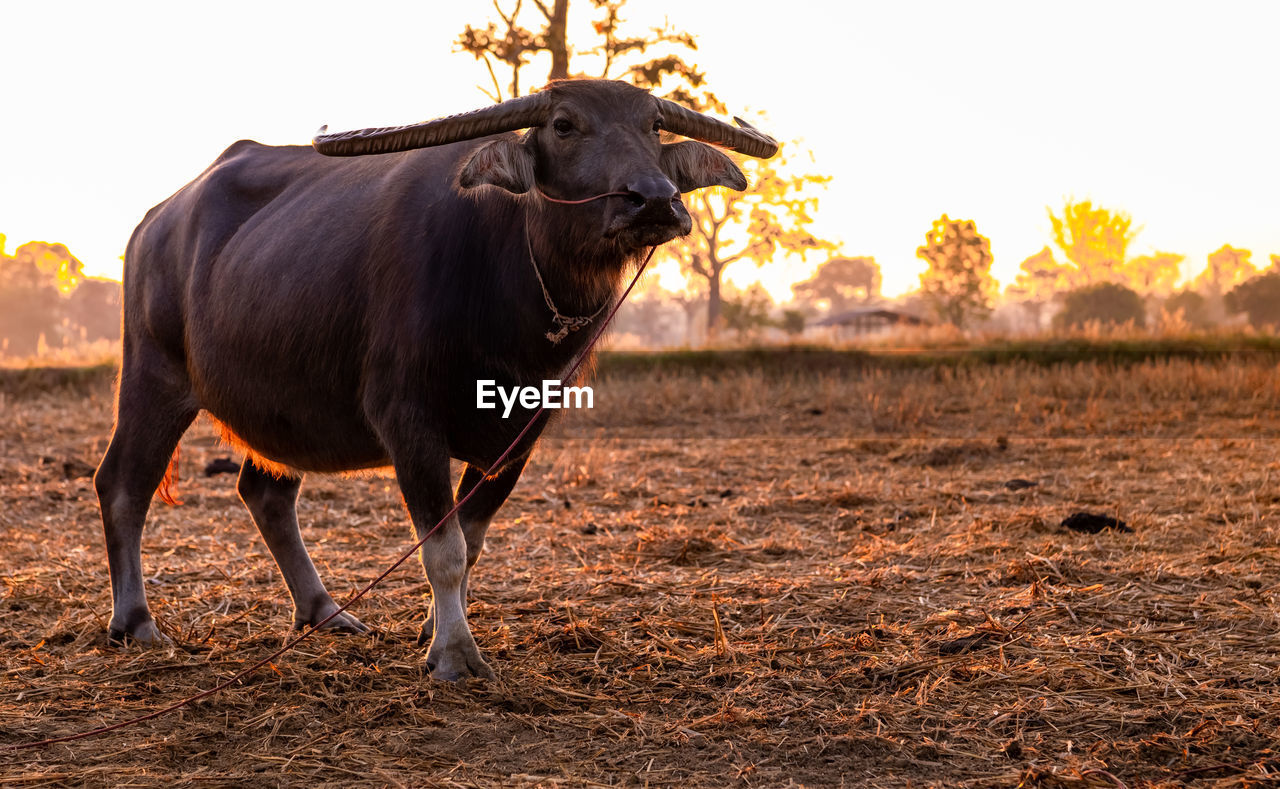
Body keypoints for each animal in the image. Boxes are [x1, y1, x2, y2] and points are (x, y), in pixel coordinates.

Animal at [94, 81, 773, 686]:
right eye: (564, 125)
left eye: (653, 126)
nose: (654, 200)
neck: (506, 288)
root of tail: (155, 222)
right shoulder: (408, 423)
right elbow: (442, 550)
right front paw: (454, 654)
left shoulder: (520, 436)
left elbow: (469, 542)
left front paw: (435, 628)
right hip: (153, 374)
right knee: (124, 484)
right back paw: (136, 621)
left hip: (281, 405)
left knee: (266, 493)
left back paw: (325, 612)